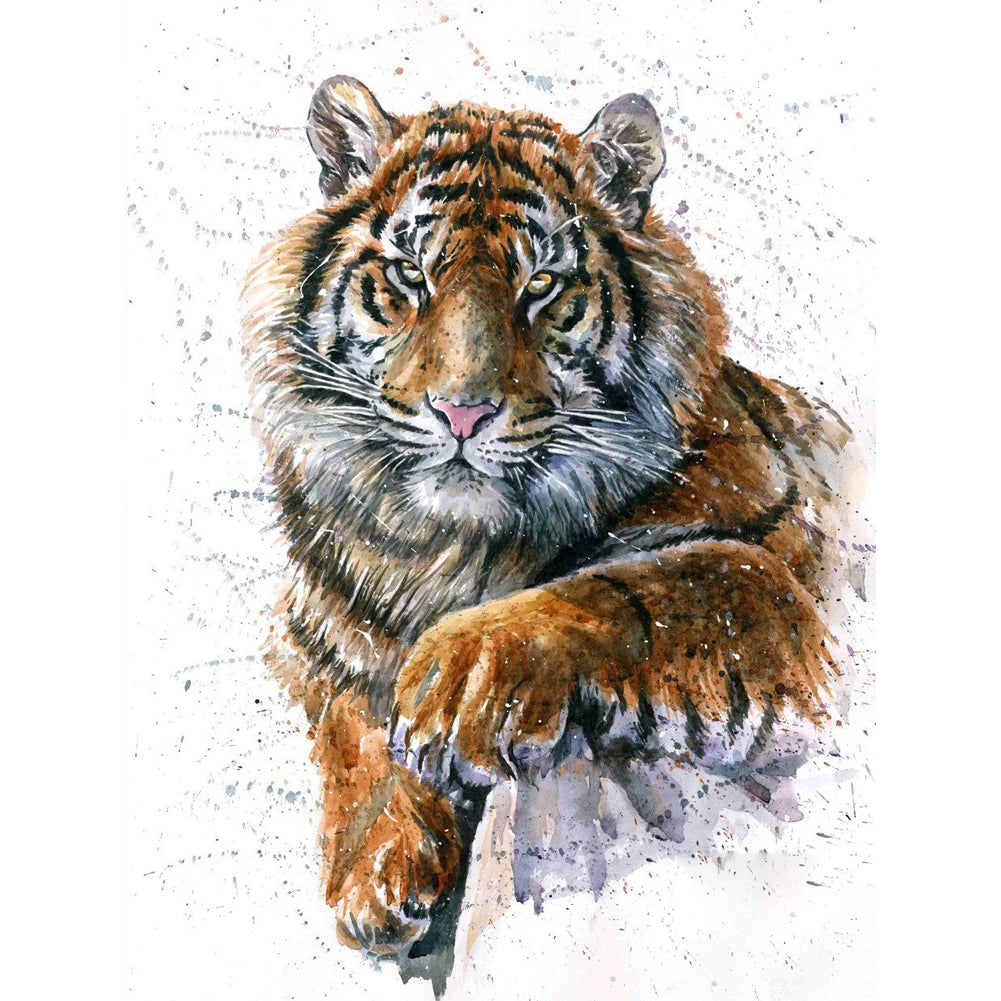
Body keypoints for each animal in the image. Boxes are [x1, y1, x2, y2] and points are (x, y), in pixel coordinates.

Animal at [241, 75, 856, 973]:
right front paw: (375, 871)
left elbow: (634, 584)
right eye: (409, 276)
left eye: (540, 287)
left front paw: (457, 679)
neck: (450, 547)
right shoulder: (316, 632)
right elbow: (350, 720)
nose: (462, 411)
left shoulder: (781, 568)